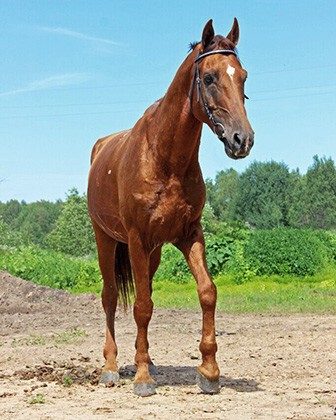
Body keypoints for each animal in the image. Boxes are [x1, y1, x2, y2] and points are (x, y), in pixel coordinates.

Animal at [88, 17, 253, 398]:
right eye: (209, 77)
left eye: (243, 77)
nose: (242, 140)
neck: (165, 159)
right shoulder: (135, 238)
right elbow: (142, 305)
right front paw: (142, 379)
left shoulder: (188, 234)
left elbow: (207, 292)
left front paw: (209, 372)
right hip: (107, 240)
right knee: (110, 297)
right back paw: (112, 367)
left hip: (153, 252)